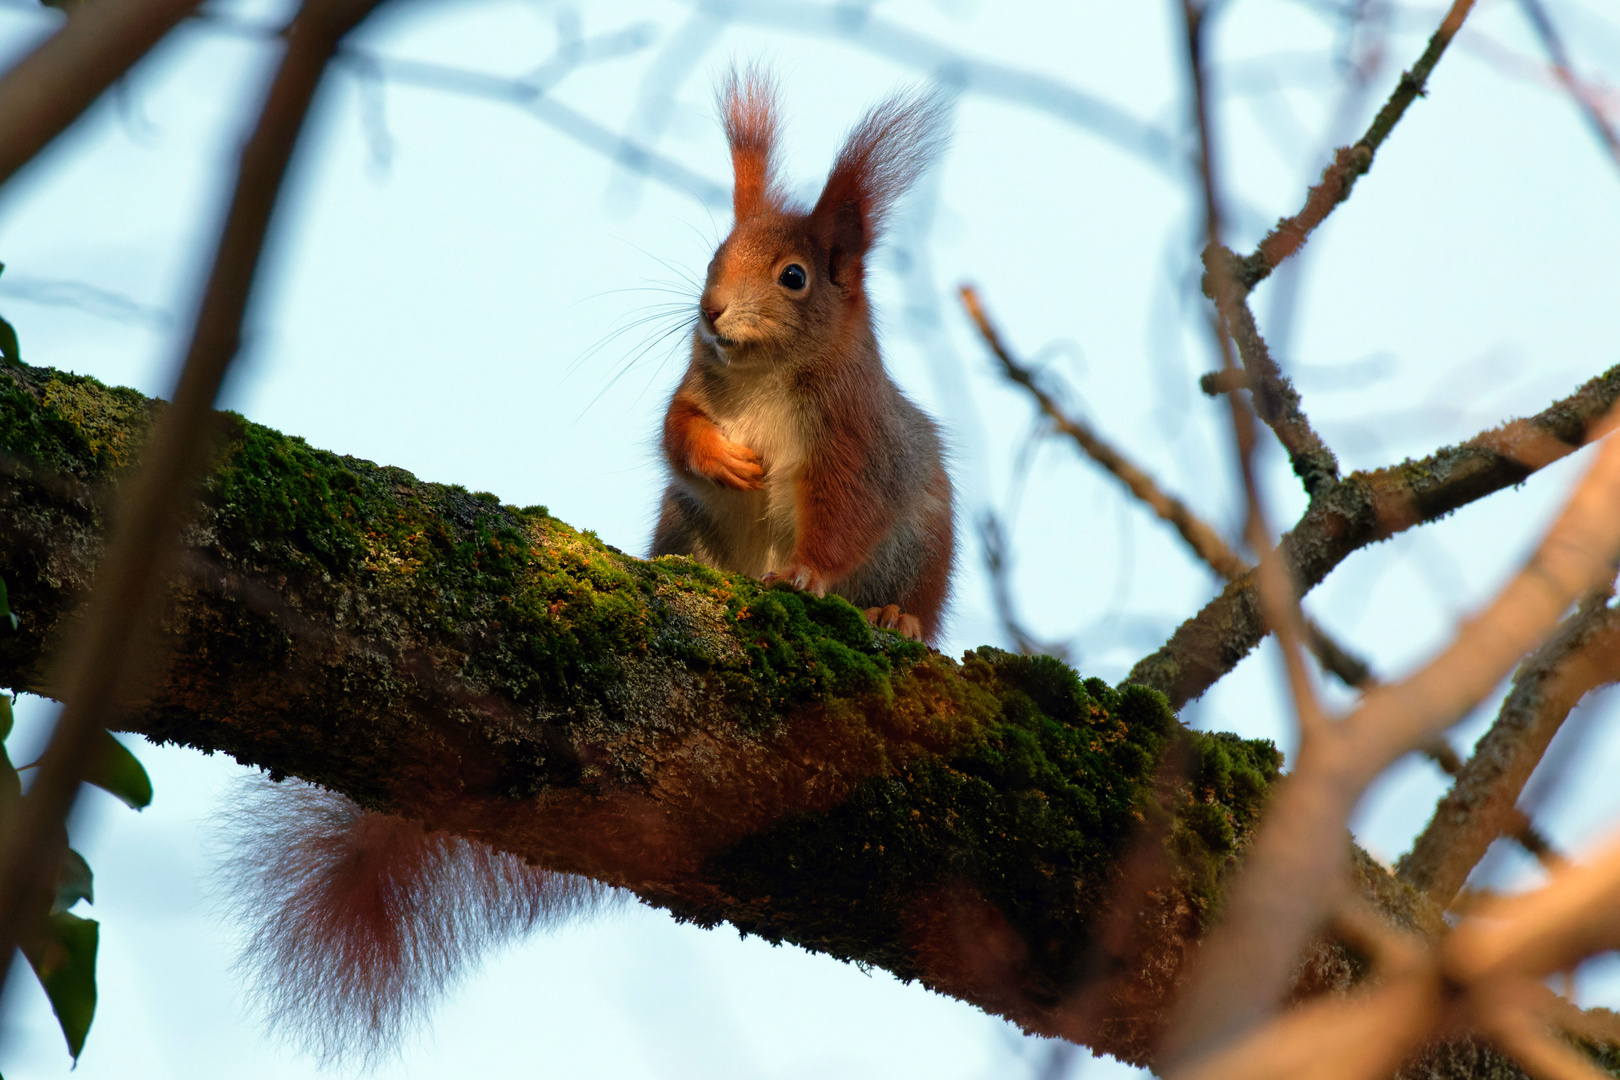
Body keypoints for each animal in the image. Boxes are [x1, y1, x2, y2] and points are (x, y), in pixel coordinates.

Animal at [648, 69, 952, 641]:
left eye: (793, 276)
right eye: (715, 257)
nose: (710, 310)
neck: (763, 373)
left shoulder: (854, 435)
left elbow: (845, 515)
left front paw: (801, 573)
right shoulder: (696, 387)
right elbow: (676, 430)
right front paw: (722, 457)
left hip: (924, 548)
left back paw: (894, 616)